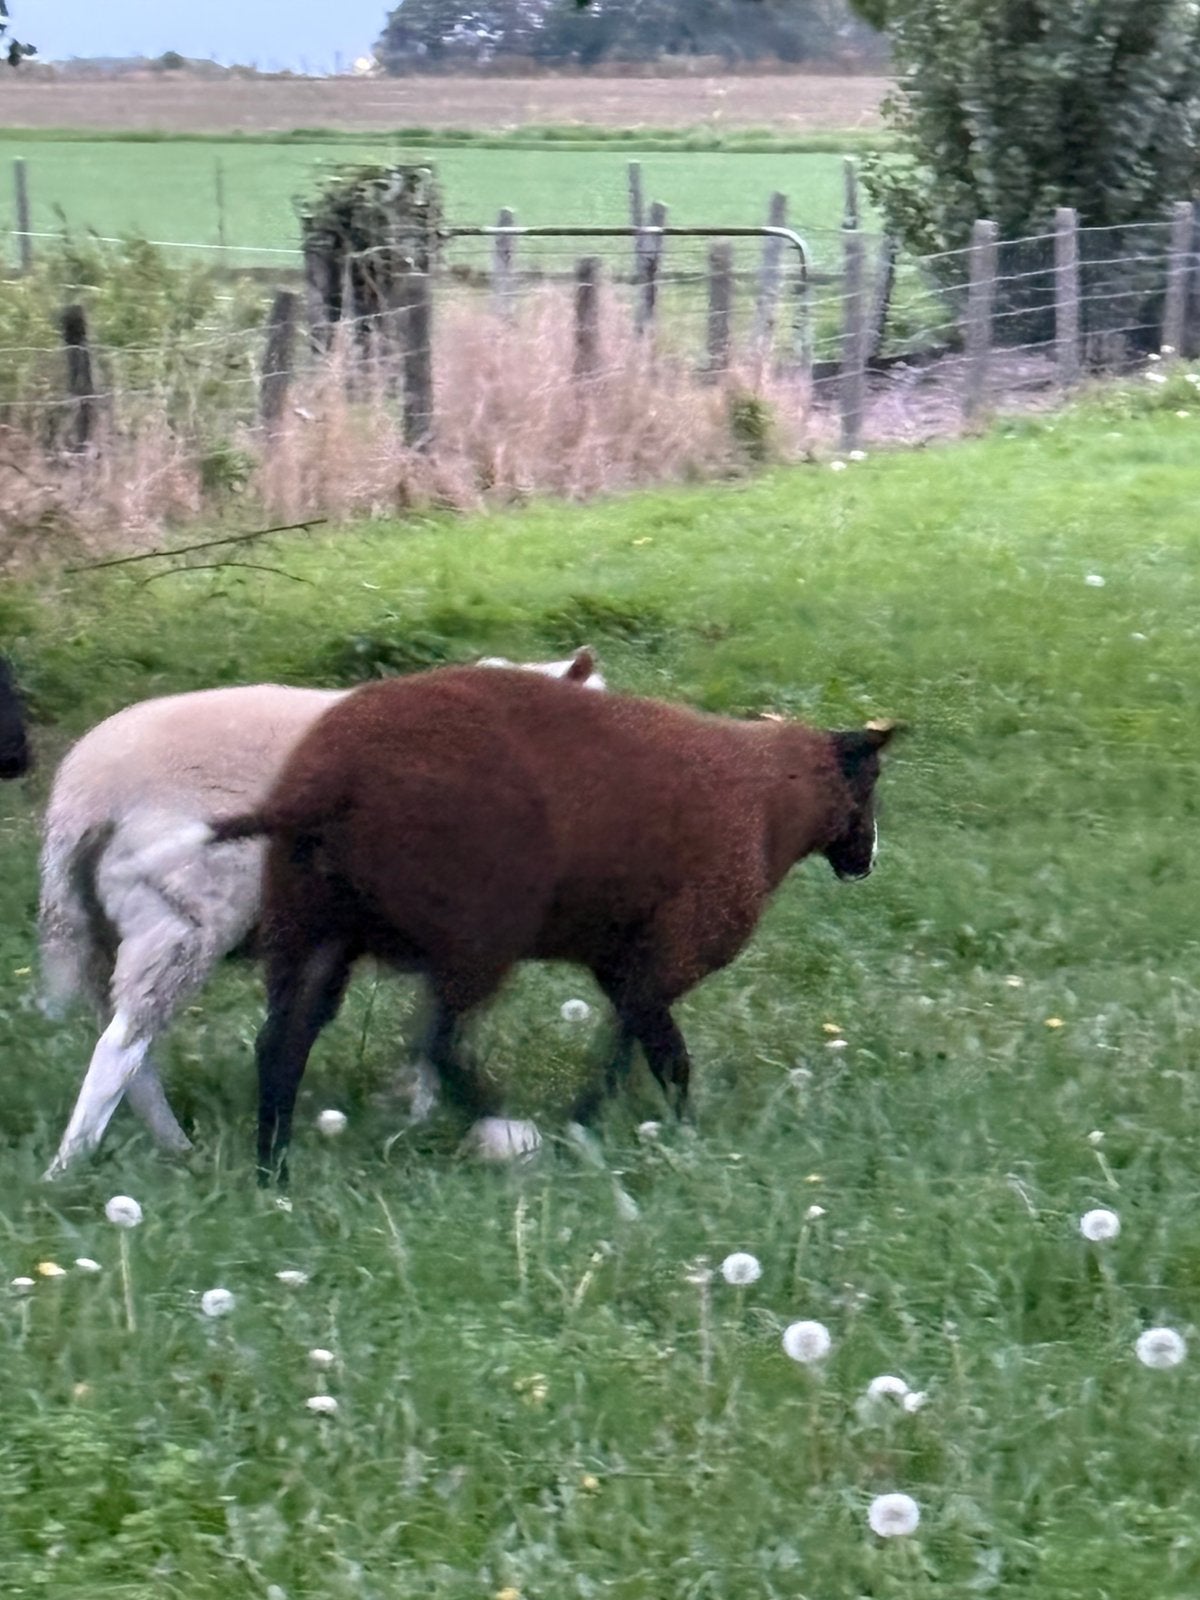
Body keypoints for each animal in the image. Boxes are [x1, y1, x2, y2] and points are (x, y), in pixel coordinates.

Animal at [40, 648, 604, 1179]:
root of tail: (83, 797)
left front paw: (417, 1110)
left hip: (104, 930)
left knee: (131, 1045)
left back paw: (171, 1148)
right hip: (186, 916)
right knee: (120, 1047)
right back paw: (69, 1167)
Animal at [187, 666, 898, 1180]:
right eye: (870, 784)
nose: (865, 862)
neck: (772, 804)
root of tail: (323, 785)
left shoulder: (625, 958)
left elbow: (659, 1049)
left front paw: (659, 1124)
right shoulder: (678, 943)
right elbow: (647, 1048)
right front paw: (599, 1122)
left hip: (310, 926)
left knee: (281, 1045)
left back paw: (272, 1171)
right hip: (475, 927)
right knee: (436, 1044)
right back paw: (505, 1130)